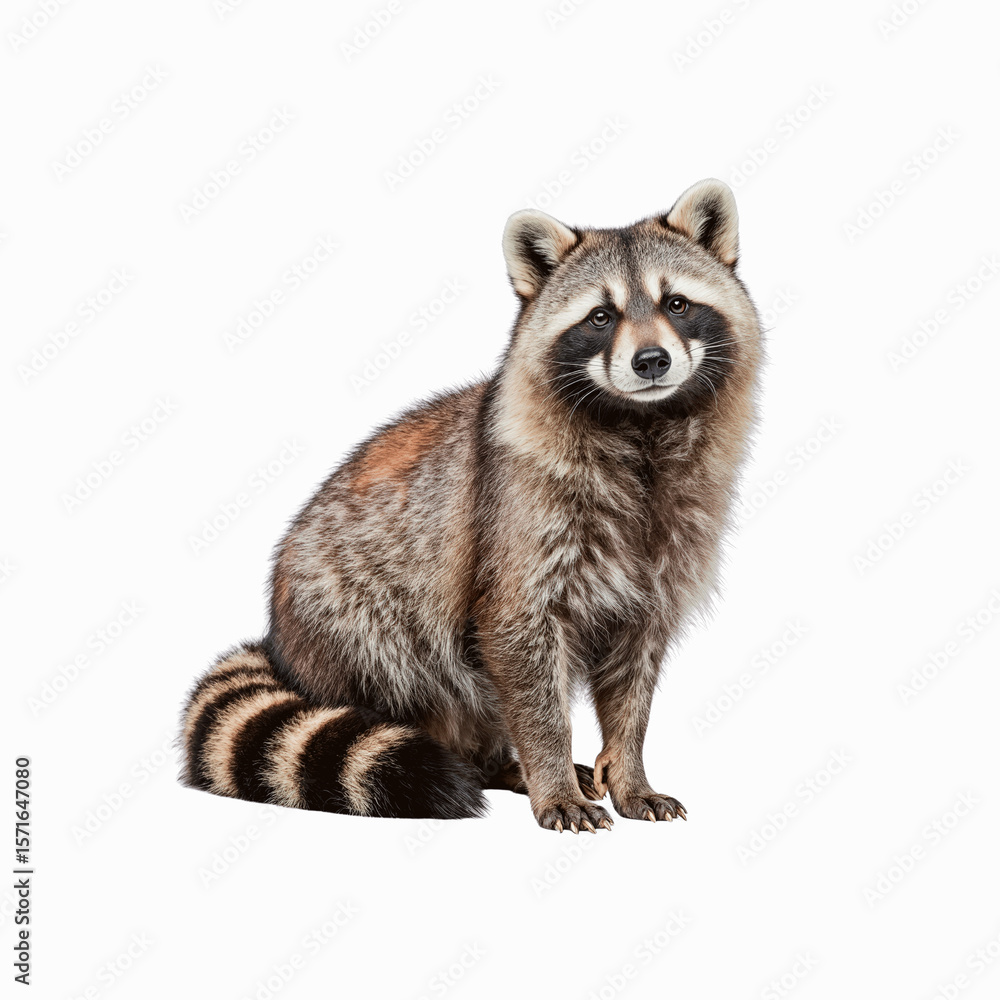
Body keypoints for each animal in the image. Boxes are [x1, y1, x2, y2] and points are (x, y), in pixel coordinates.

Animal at [180, 178, 762, 832]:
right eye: (601, 316)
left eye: (678, 304)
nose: (652, 361)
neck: (641, 423)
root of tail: (279, 646)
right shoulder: (520, 522)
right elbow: (521, 649)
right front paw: (552, 775)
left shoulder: (670, 546)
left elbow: (633, 680)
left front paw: (630, 770)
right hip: (347, 617)